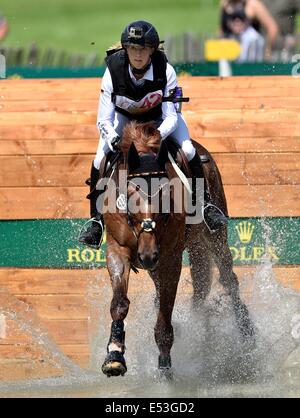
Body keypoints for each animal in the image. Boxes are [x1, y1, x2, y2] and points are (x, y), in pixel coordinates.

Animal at [100, 121, 253, 378]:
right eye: (130, 196)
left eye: (166, 195)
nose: (147, 256)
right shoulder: (118, 250)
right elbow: (119, 303)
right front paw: (114, 355)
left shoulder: (170, 258)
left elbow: (165, 310)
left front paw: (165, 367)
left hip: (214, 237)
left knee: (228, 279)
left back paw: (246, 331)